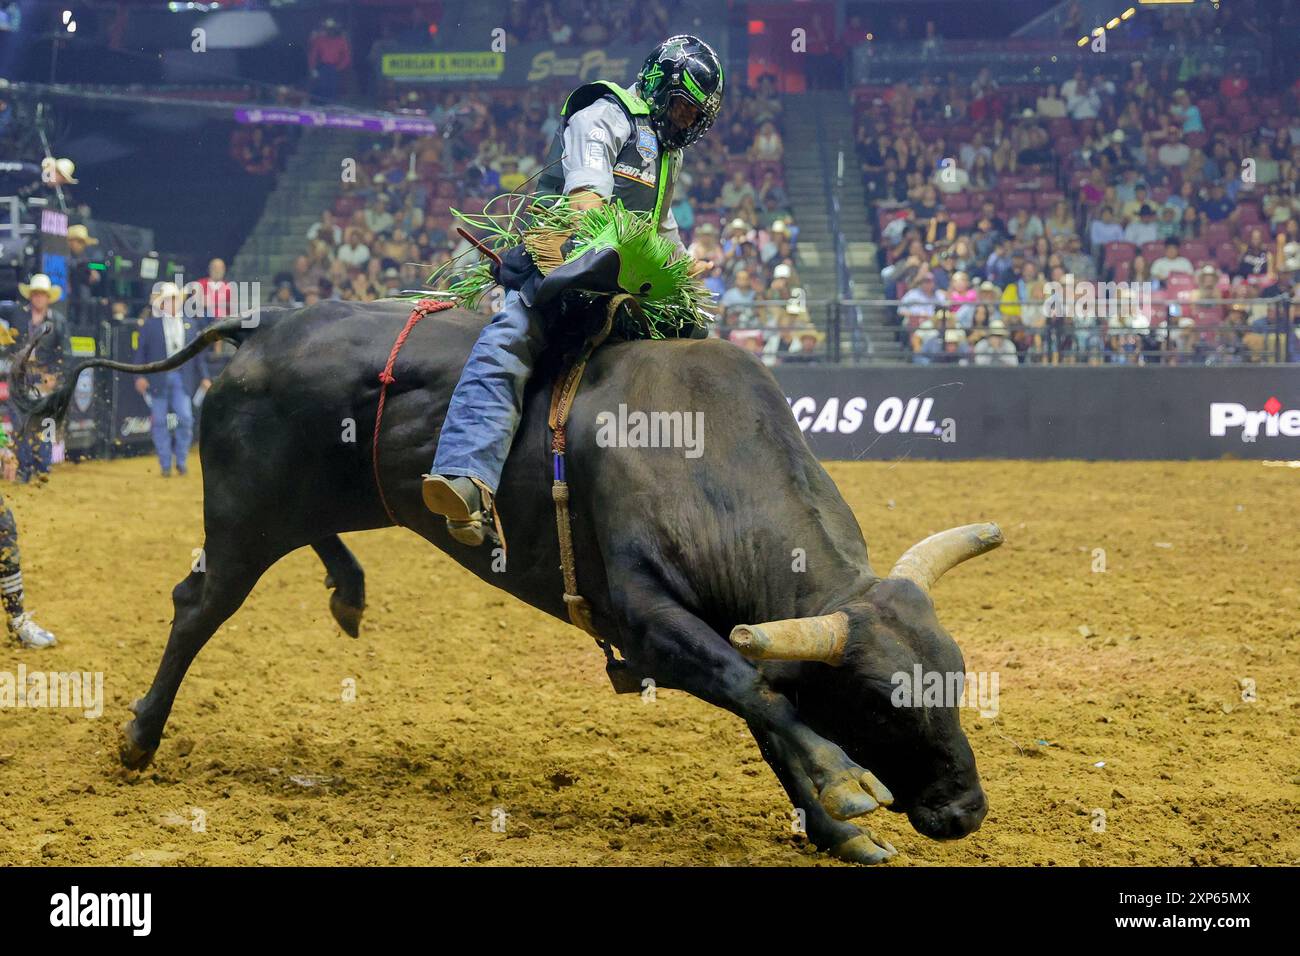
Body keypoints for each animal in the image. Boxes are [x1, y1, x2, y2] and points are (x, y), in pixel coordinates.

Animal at [22, 300, 1003, 868]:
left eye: (955, 684)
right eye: (880, 705)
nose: (964, 811)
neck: (702, 456)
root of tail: (262, 330)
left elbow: (770, 709)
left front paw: (840, 829)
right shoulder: (650, 623)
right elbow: (755, 692)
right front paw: (845, 785)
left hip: (304, 505)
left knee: (310, 542)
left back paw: (348, 588)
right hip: (240, 518)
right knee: (198, 607)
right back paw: (139, 738)